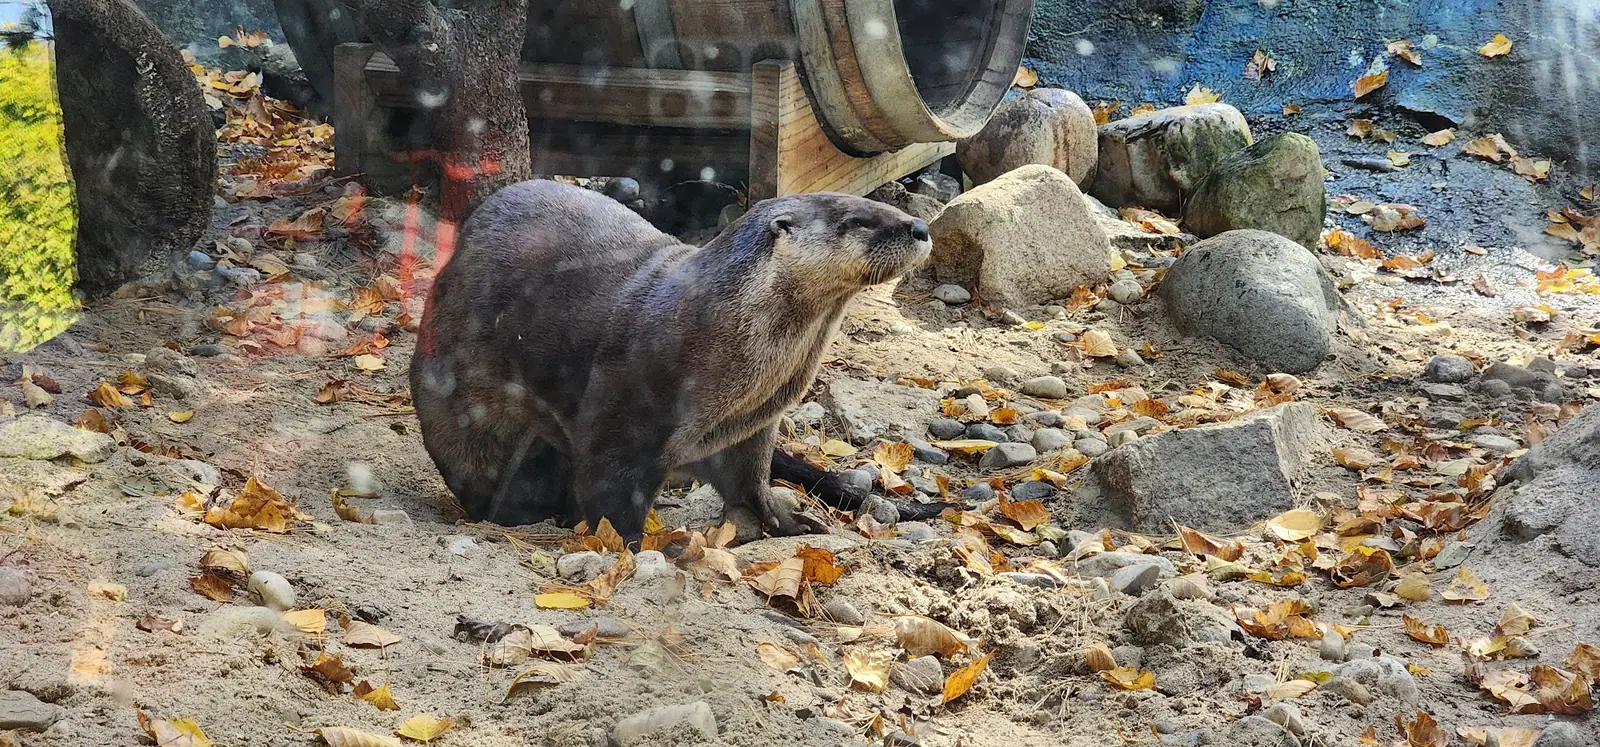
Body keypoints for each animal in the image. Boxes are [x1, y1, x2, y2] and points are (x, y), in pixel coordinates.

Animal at [410, 180, 933, 537]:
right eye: (857, 220)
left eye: (888, 207)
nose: (921, 226)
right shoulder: (628, 404)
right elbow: (611, 488)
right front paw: (629, 546)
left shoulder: (755, 423)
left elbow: (751, 478)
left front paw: (786, 519)